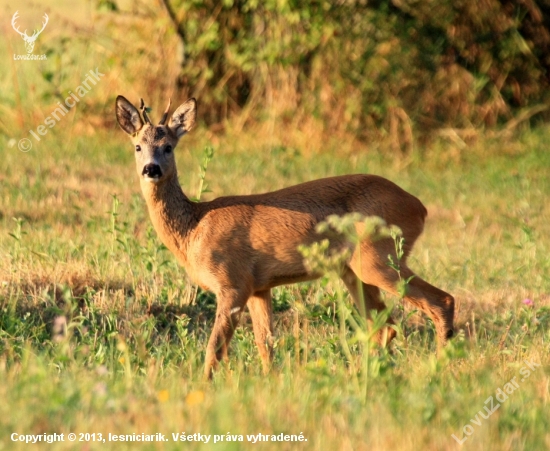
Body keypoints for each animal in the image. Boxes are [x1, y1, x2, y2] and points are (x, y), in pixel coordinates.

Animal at [114, 97, 454, 380]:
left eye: (168, 146)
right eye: (137, 147)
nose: (151, 169)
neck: (194, 228)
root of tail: (419, 207)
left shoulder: (232, 282)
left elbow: (215, 347)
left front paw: (202, 387)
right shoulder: (259, 287)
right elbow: (265, 344)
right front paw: (269, 384)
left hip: (378, 258)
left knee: (440, 301)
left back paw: (438, 370)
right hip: (354, 271)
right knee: (385, 326)